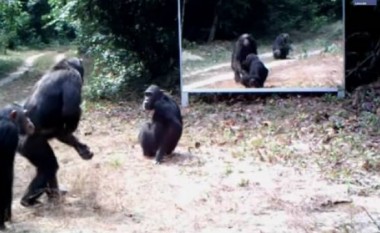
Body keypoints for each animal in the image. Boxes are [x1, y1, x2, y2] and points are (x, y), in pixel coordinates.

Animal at [17, 57, 95, 207]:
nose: (84, 78)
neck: (62, 67)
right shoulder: (73, 77)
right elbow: (69, 110)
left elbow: (61, 132)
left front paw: (82, 148)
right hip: (32, 145)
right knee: (49, 166)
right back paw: (29, 200)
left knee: (47, 166)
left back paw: (53, 195)